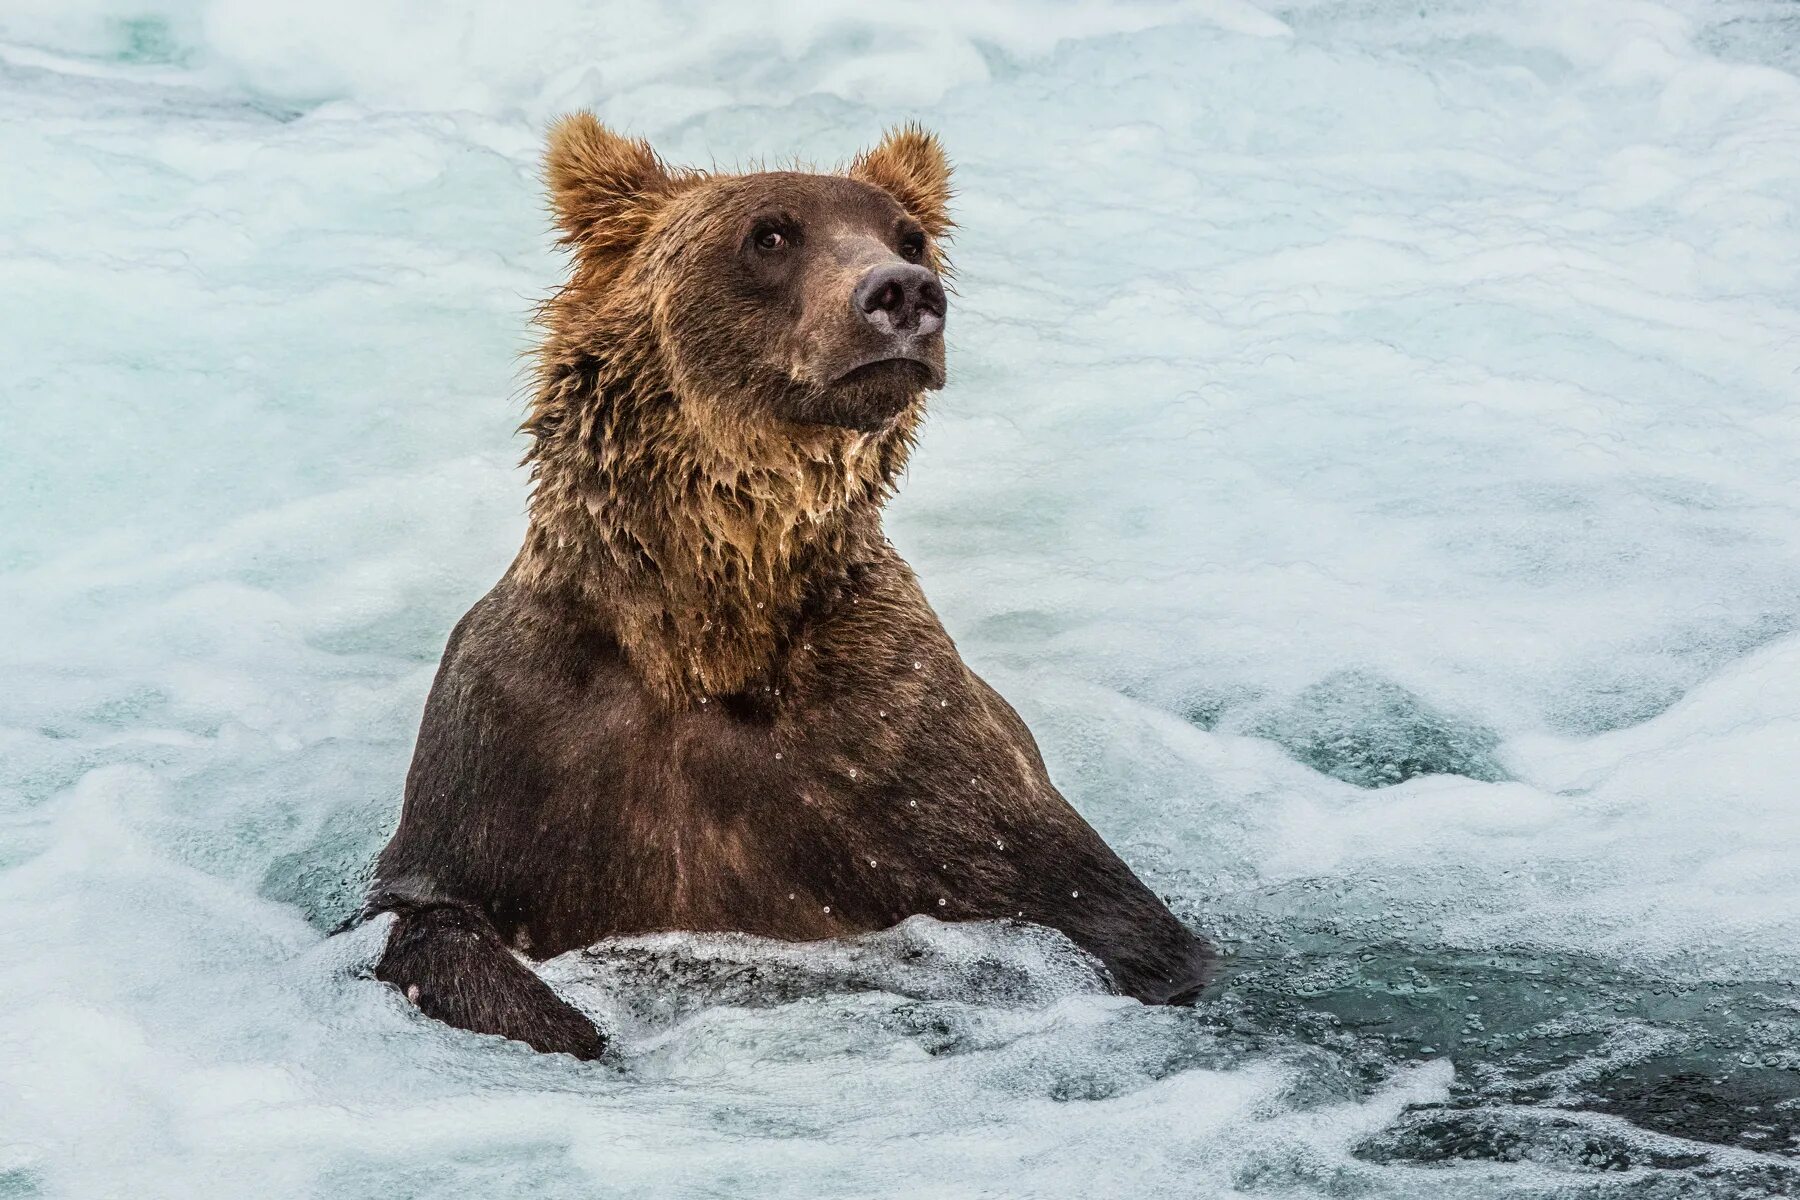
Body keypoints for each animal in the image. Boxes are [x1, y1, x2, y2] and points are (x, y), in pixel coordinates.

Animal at [361, 116, 1209, 1057]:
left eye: (909, 237)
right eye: (769, 234)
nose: (904, 293)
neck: (705, 635)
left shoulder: (898, 740)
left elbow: (1103, 910)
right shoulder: (515, 736)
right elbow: (432, 918)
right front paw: (570, 1024)